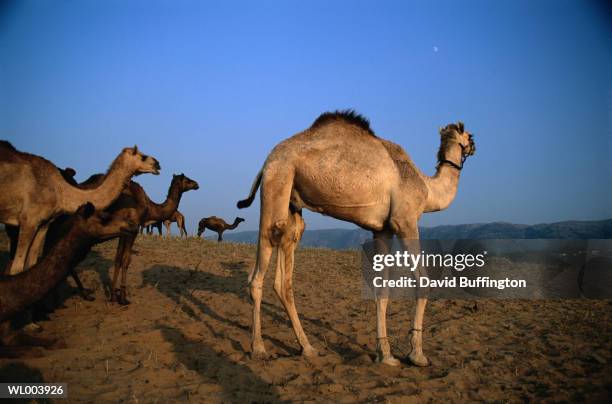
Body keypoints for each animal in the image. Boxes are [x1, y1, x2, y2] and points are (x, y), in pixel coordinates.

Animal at [0, 140, 160, 276]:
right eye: (143, 156)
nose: (158, 164)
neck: (60, 192)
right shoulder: (28, 221)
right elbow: (17, 269)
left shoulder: (44, 224)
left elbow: (31, 265)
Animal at [237, 109, 476, 366]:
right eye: (470, 136)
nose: (474, 147)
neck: (427, 188)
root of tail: (267, 161)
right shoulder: (405, 221)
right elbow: (422, 280)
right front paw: (417, 354)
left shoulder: (383, 229)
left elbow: (382, 288)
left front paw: (385, 354)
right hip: (278, 180)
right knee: (262, 263)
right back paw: (259, 348)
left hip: (292, 201)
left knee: (285, 258)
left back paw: (307, 348)